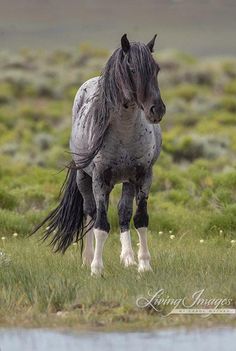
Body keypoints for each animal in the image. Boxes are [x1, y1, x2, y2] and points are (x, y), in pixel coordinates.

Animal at [32, 35, 166, 278]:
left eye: (156, 68)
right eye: (132, 69)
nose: (156, 110)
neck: (124, 132)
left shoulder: (144, 176)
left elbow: (140, 218)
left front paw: (144, 265)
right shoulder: (100, 179)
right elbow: (101, 224)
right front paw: (96, 269)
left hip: (127, 180)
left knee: (123, 212)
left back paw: (128, 258)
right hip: (84, 179)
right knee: (90, 212)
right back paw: (87, 258)